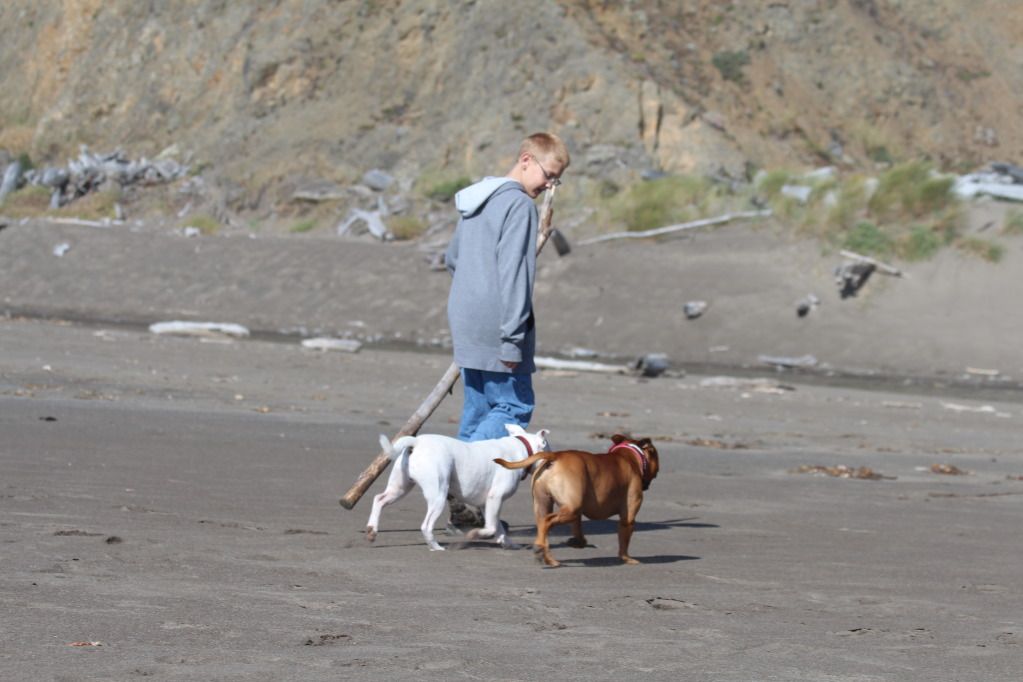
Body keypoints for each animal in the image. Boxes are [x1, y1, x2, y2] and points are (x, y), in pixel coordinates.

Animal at [364, 423, 548, 552]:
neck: (522, 448)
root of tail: (416, 442)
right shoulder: (495, 497)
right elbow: (491, 527)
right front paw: (476, 534)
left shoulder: (487, 504)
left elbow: (498, 527)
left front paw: (509, 544)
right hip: (438, 495)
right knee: (426, 525)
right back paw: (435, 547)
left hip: (400, 488)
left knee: (379, 499)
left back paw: (372, 530)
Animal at [497, 435, 658, 568]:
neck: (629, 457)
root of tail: (555, 456)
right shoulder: (628, 517)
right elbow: (624, 541)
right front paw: (626, 558)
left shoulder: (577, 513)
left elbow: (578, 530)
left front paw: (577, 542)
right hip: (569, 510)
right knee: (547, 521)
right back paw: (541, 550)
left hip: (549, 506)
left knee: (543, 526)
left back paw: (547, 557)